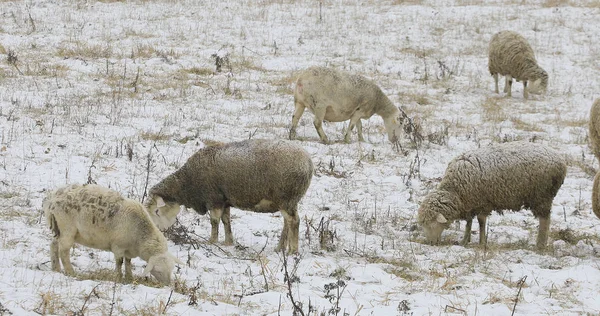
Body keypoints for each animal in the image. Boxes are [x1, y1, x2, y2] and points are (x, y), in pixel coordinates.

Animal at [43, 183, 182, 284]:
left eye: (171, 269)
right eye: (158, 270)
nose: (168, 285)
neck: (139, 233)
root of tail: (52, 199)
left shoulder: (128, 248)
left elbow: (128, 262)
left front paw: (129, 278)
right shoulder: (118, 246)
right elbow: (119, 262)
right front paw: (119, 278)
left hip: (57, 228)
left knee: (53, 245)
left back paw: (56, 269)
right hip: (67, 228)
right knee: (63, 251)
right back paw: (70, 272)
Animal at [144, 139, 314, 253]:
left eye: (156, 211)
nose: (153, 233)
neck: (188, 183)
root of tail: (309, 162)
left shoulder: (214, 199)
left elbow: (214, 221)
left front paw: (211, 241)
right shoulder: (224, 200)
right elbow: (226, 221)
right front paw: (228, 242)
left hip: (287, 198)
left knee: (294, 221)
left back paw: (292, 251)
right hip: (288, 200)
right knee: (287, 222)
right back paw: (280, 248)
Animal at [418, 142, 568, 251]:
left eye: (431, 225)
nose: (430, 243)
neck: (455, 192)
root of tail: (560, 159)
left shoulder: (484, 202)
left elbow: (480, 221)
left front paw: (481, 242)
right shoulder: (470, 203)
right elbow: (469, 222)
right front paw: (465, 240)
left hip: (542, 196)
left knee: (545, 220)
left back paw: (540, 244)